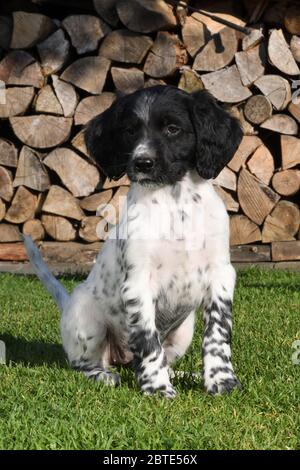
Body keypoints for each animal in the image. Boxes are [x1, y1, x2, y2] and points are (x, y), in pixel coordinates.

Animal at [24, 85, 244, 396]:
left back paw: (183, 374)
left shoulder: (221, 274)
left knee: (165, 358)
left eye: (173, 129)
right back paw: (103, 376)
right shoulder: (139, 280)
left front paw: (221, 381)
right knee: (83, 363)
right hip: (84, 313)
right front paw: (157, 388)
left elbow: (217, 334)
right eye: (130, 131)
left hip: (183, 330)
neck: (175, 205)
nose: (142, 163)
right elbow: (148, 339)